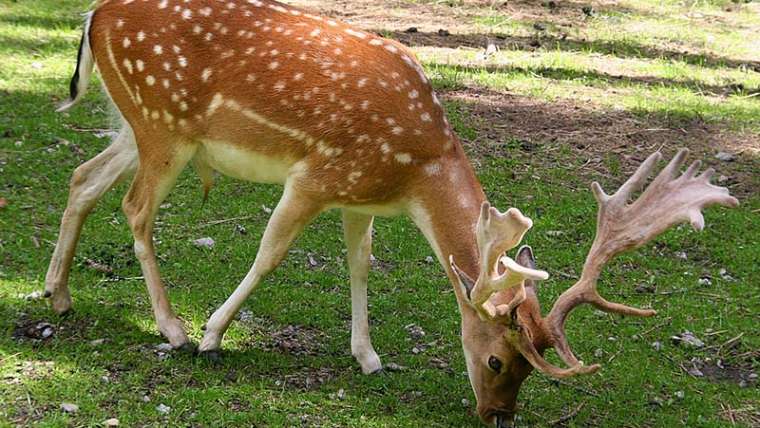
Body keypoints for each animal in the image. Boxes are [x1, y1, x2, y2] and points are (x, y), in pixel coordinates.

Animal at [47, 0, 736, 424]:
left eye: (530, 370)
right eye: (498, 360)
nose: (499, 416)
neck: (415, 173)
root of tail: (93, 15)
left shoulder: (358, 195)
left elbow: (360, 265)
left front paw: (368, 356)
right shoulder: (316, 175)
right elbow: (270, 253)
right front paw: (216, 335)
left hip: (137, 127)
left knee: (81, 179)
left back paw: (58, 294)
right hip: (164, 127)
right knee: (134, 209)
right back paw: (173, 329)